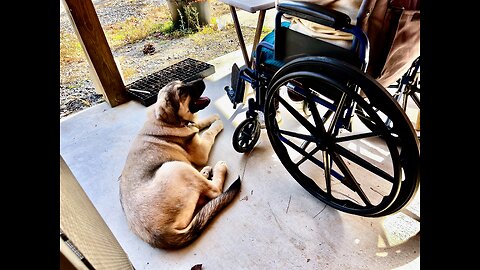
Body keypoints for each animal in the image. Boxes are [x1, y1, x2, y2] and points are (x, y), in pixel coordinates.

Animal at [118, 79, 242, 250]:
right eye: (182, 91)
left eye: (182, 83)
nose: (201, 80)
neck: (165, 122)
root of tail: (162, 234)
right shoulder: (201, 152)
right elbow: (208, 133)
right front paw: (216, 123)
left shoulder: (192, 127)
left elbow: (197, 124)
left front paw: (212, 117)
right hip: (174, 167)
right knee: (214, 191)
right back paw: (218, 168)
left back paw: (205, 172)